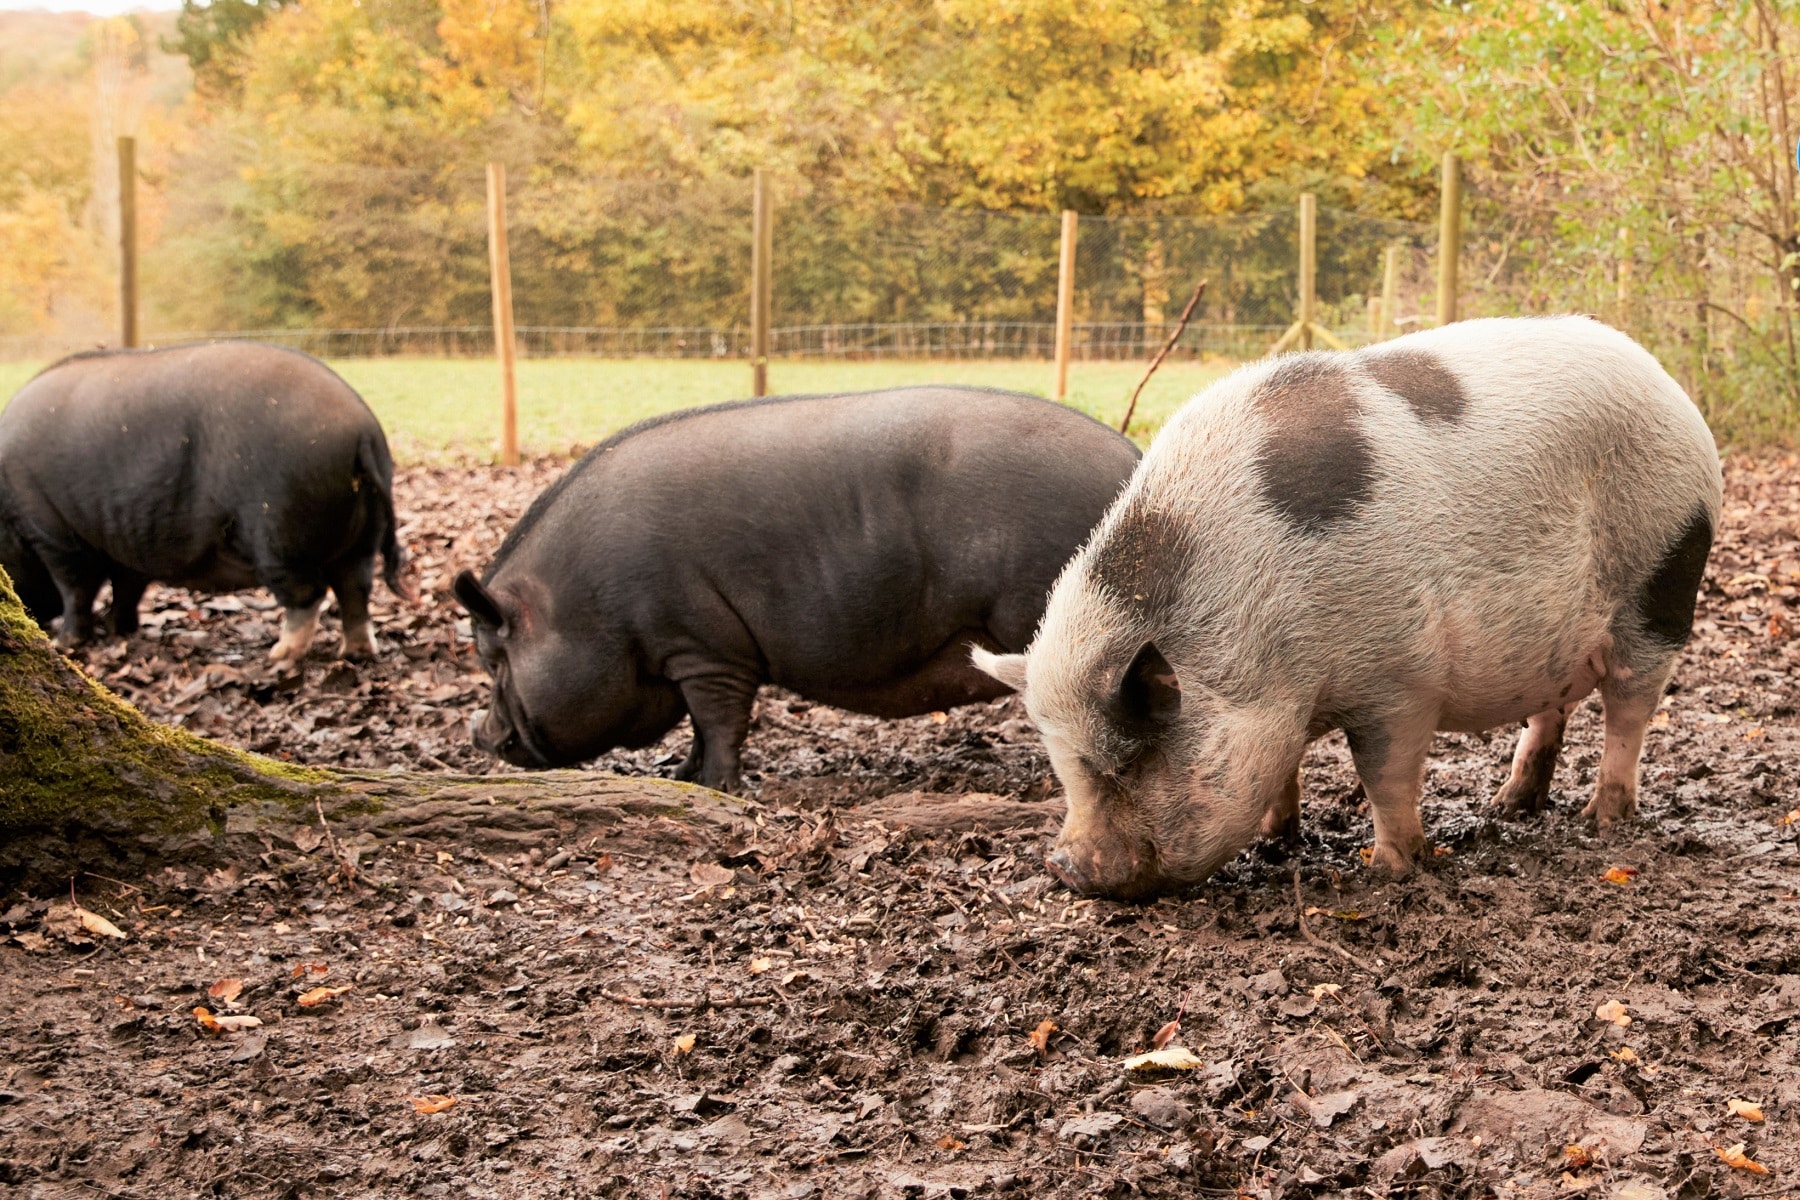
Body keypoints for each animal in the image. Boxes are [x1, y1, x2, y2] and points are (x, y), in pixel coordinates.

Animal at [0, 341, 412, 665]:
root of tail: (363, 431)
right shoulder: (126, 544)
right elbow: (127, 587)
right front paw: (120, 630)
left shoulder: (52, 531)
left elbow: (76, 589)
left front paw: (65, 644)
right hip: (363, 531)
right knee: (356, 586)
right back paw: (355, 653)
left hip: (280, 533)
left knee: (309, 593)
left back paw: (277, 656)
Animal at [460, 390, 1137, 791]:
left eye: (495, 658)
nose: (478, 736)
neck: (586, 607)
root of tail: (1132, 455)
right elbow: (700, 729)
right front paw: (678, 775)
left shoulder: (703, 647)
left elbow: (720, 721)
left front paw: (715, 788)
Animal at [979, 314, 1720, 895]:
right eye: (1062, 765)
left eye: (1127, 761)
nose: (1064, 867)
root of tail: (1670, 387)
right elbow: (1284, 771)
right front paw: (1276, 840)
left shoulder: (1400, 679)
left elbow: (1384, 774)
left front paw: (1387, 868)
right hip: (1555, 636)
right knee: (1551, 710)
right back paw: (1509, 808)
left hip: (1662, 578)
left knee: (1630, 707)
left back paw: (1602, 819)